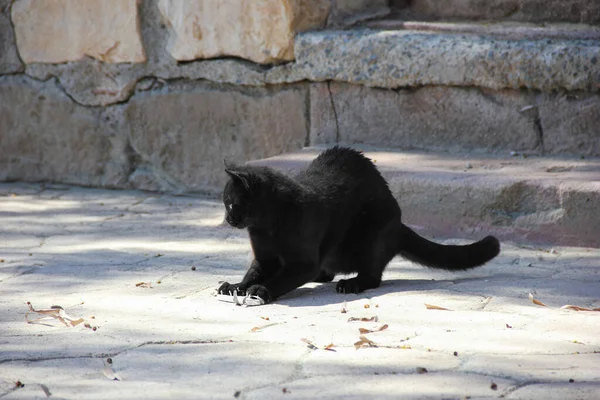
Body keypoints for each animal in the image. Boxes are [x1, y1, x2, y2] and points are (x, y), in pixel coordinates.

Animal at [218, 147, 500, 304]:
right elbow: (253, 273)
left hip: (371, 234)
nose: (227, 219)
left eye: (231, 204)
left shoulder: (301, 262)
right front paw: (236, 287)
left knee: (372, 276)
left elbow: (280, 278)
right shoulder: (265, 258)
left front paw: (262, 290)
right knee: (329, 270)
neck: (265, 226)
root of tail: (399, 224)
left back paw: (350, 284)